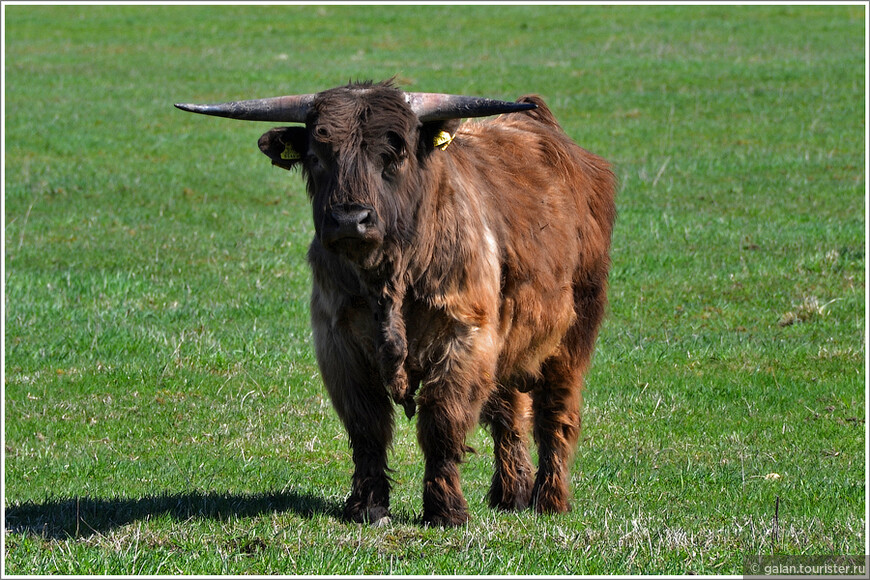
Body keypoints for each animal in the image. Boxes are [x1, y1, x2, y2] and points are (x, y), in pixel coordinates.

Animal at [174, 79, 616, 528]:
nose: (349, 220)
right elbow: (367, 428)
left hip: (574, 333)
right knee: (509, 413)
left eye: (394, 154)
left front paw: (445, 510)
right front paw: (367, 506)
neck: (391, 277)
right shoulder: (340, 345)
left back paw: (550, 499)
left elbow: (442, 424)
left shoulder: (464, 337)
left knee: (555, 415)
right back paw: (510, 495)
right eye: (317, 156)